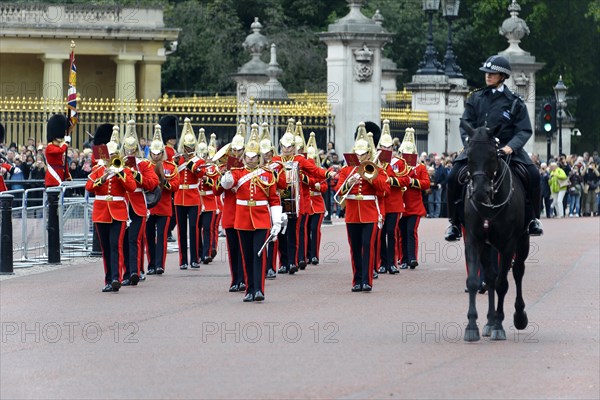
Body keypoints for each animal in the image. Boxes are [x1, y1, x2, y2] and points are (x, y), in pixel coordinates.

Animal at [462, 120, 528, 342]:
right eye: (469, 156)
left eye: (493, 155)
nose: (480, 192)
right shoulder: (473, 240)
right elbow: (475, 281)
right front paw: (472, 326)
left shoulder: (508, 244)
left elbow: (502, 283)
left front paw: (500, 325)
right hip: (487, 246)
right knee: (490, 277)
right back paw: (489, 321)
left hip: (522, 241)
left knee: (517, 272)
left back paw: (518, 316)